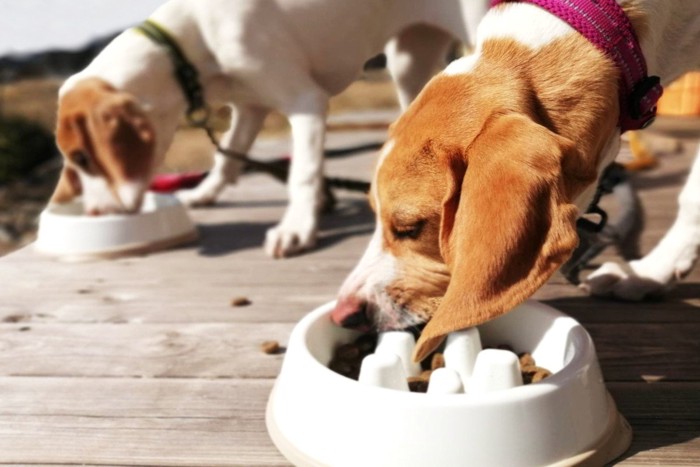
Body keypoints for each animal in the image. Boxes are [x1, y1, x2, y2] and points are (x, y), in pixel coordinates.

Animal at [50, 0, 486, 256]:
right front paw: (204, 193)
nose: (92, 214)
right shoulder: (249, 108)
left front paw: (296, 227)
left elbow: (301, 173)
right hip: (407, 61)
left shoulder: (307, 104)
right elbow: (227, 159)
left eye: (82, 157)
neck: (191, 40)